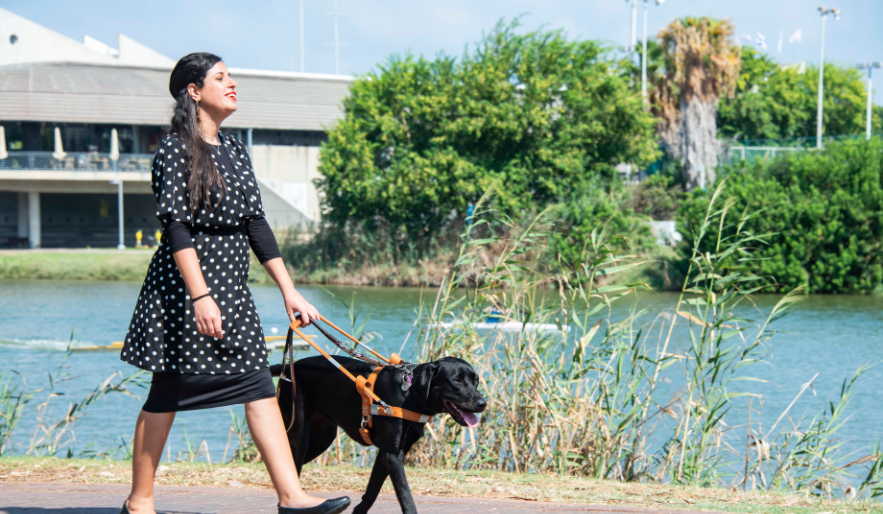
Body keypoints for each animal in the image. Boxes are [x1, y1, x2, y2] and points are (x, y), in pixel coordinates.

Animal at [272, 354, 486, 510]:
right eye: (457, 381)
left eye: (476, 381)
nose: (483, 403)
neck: (410, 393)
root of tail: (289, 366)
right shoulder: (392, 457)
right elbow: (406, 498)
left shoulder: (387, 455)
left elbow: (371, 494)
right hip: (300, 436)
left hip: (322, 438)